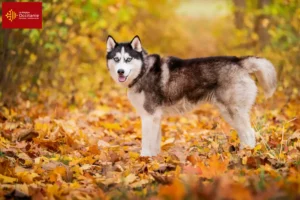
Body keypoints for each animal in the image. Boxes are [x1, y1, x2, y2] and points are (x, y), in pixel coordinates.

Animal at [106, 35, 276, 156]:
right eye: (116, 59)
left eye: (128, 59)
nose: (120, 71)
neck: (143, 71)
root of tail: (239, 61)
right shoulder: (155, 117)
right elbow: (155, 142)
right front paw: (155, 159)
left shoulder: (149, 115)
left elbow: (146, 143)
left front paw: (145, 159)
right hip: (230, 113)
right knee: (245, 134)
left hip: (233, 111)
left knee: (249, 133)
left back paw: (246, 155)